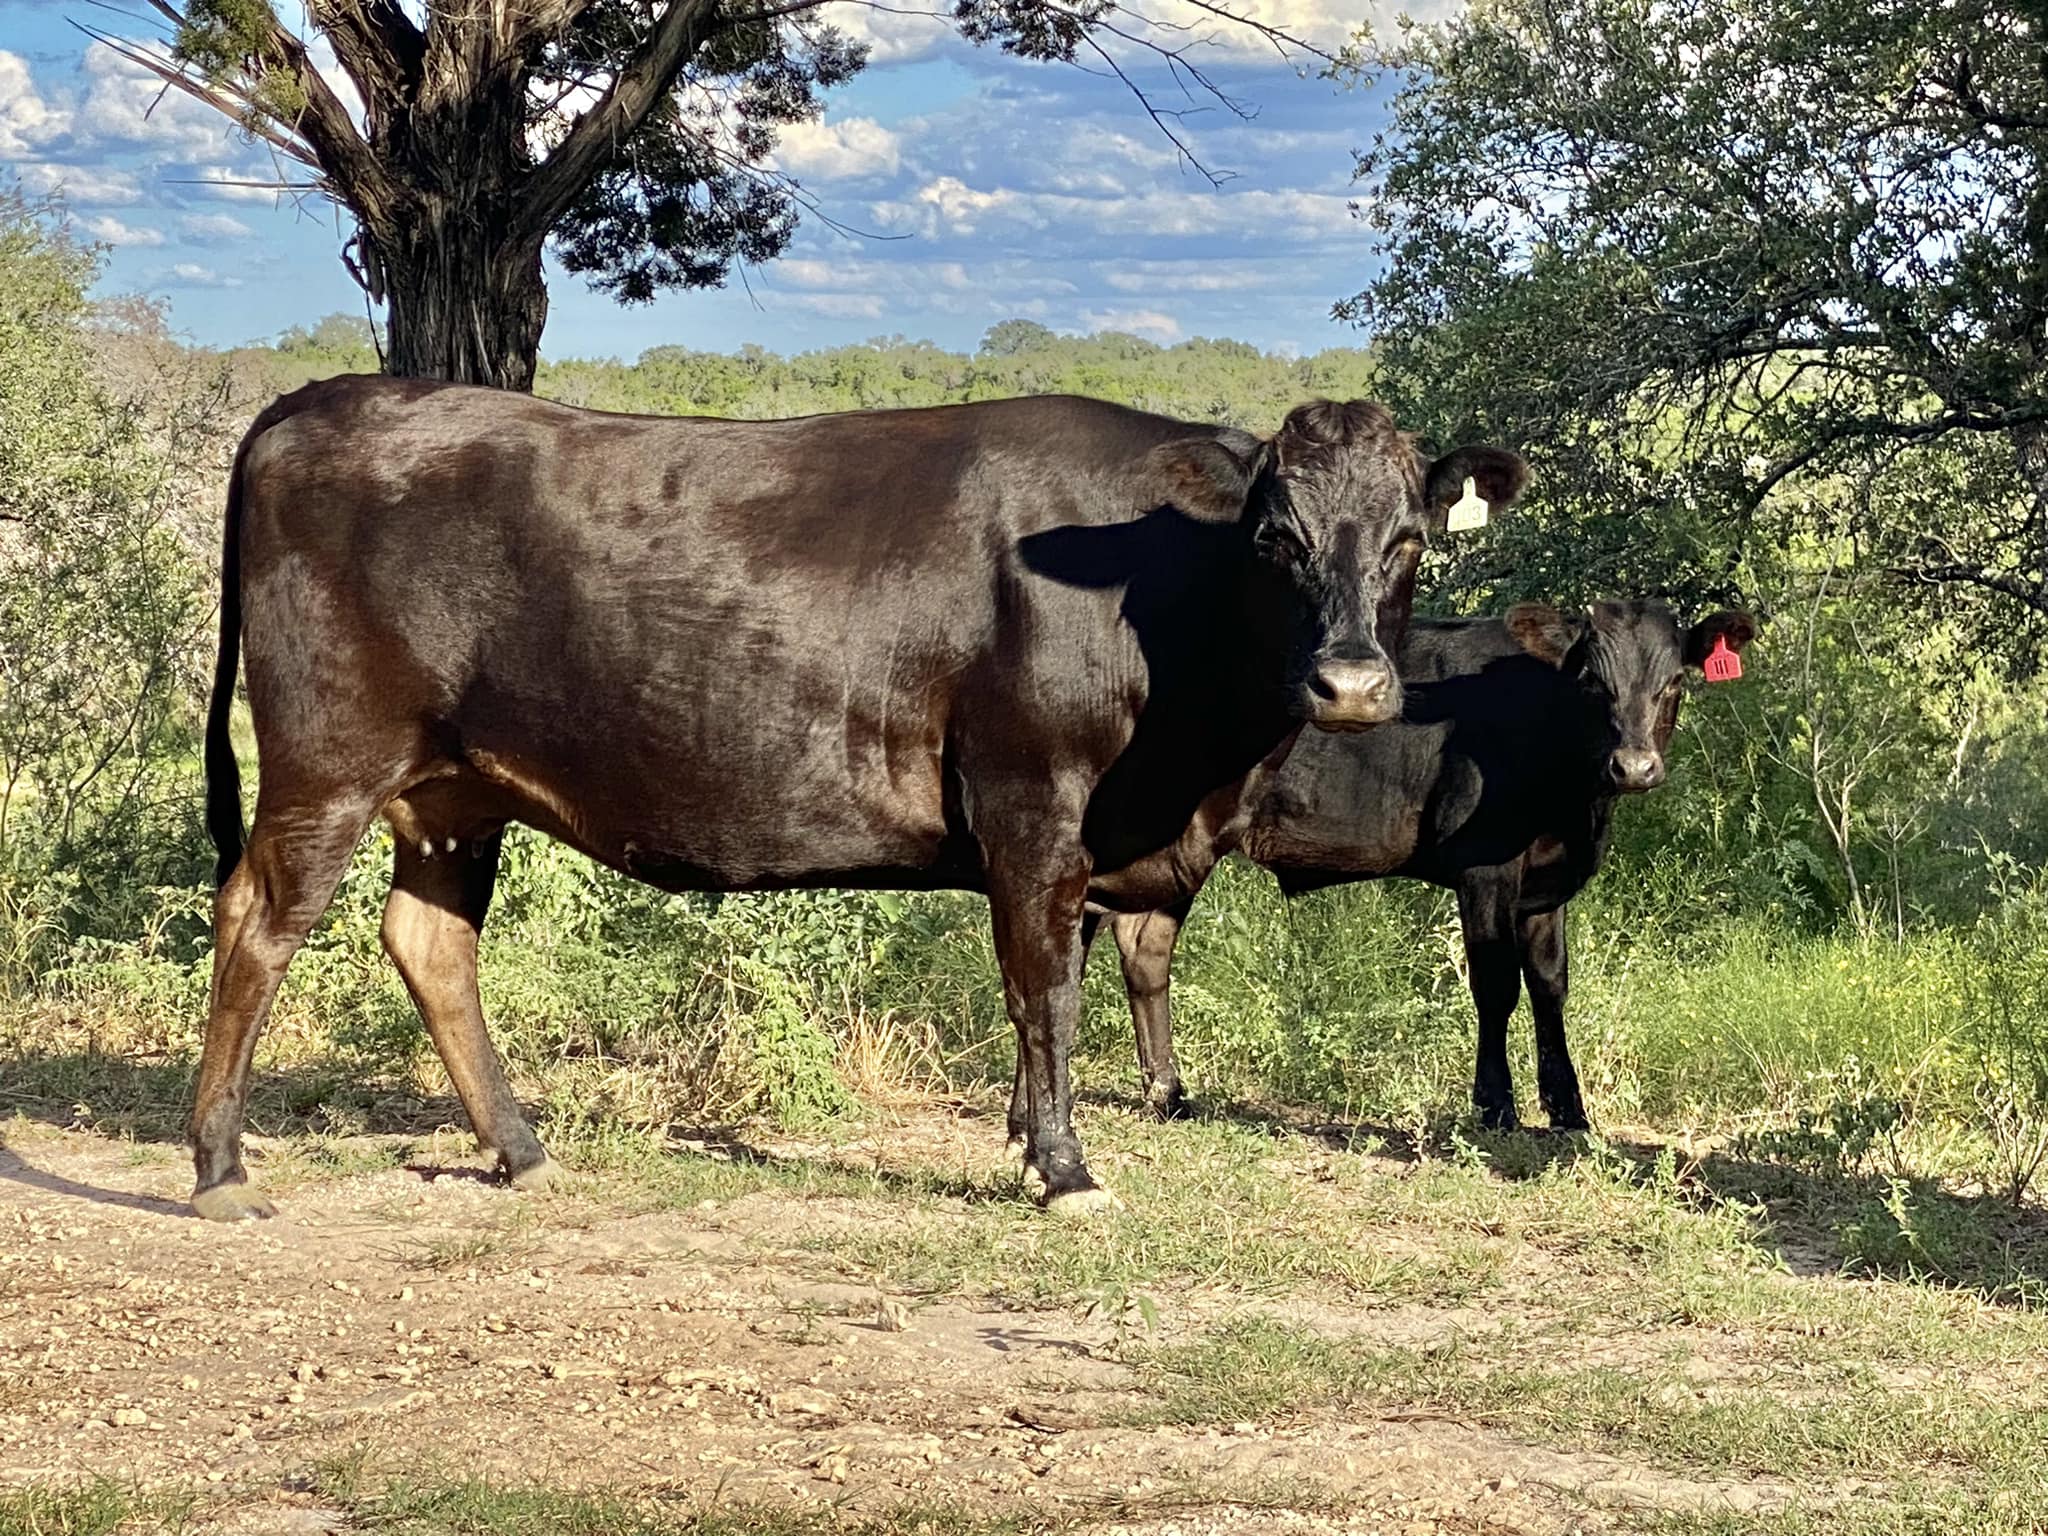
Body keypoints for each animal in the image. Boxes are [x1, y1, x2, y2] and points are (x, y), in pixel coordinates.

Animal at [192, 377, 1529, 1222]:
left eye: (1410, 539)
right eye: (1275, 539)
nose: (1352, 684)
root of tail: (333, 395)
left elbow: (1046, 987)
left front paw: (1023, 1139)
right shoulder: (1032, 801)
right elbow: (1044, 990)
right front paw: (1063, 1168)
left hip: (454, 791)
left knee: (428, 943)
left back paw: (519, 1152)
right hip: (330, 759)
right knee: (258, 920)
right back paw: (220, 1165)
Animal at [1045, 599, 1753, 1139]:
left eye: (1674, 683)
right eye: (1591, 683)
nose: (1634, 766)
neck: (1575, 806)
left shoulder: (1547, 884)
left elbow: (1550, 986)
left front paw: (1569, 1112)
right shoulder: (1485, 867)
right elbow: (1497, 984)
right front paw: (1496, 1107)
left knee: (1145, 946)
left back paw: (1169, 1095)